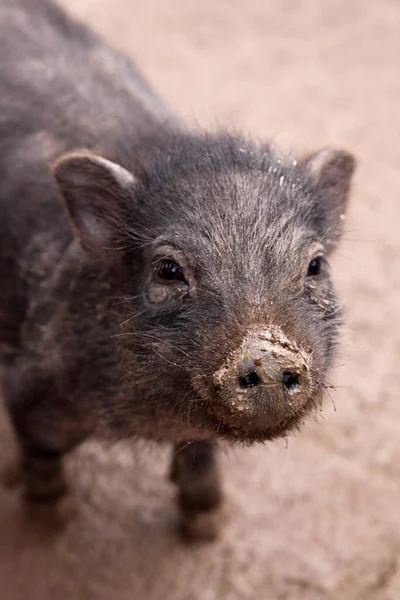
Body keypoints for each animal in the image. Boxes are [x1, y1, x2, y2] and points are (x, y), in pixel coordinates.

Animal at [0, 0, 356, 540]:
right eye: (168, 270)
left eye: (315, 264)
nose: (268, 350)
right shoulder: (30, 388)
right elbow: (42, 458)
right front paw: (48, 524)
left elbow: (199, 454)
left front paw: (204, 527)